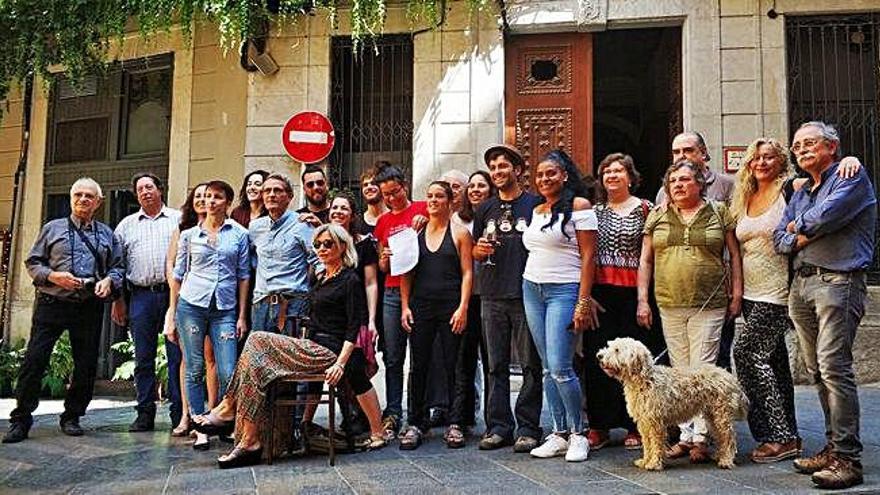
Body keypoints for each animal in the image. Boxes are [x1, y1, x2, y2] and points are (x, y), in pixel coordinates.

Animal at [596, 338, 744, 472]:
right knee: (721, 437)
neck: (645, 379)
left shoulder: (655, 422)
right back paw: (720, 455)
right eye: (610, 346)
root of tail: (730, 377)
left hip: (722, 415)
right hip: (712, 416)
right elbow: (647, 444)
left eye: (617, 350)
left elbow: (656, 444)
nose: (599, 356)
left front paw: (654, 464)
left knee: (728, 437)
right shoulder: (644, 422)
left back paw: (726, 460)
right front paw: (645, 461)